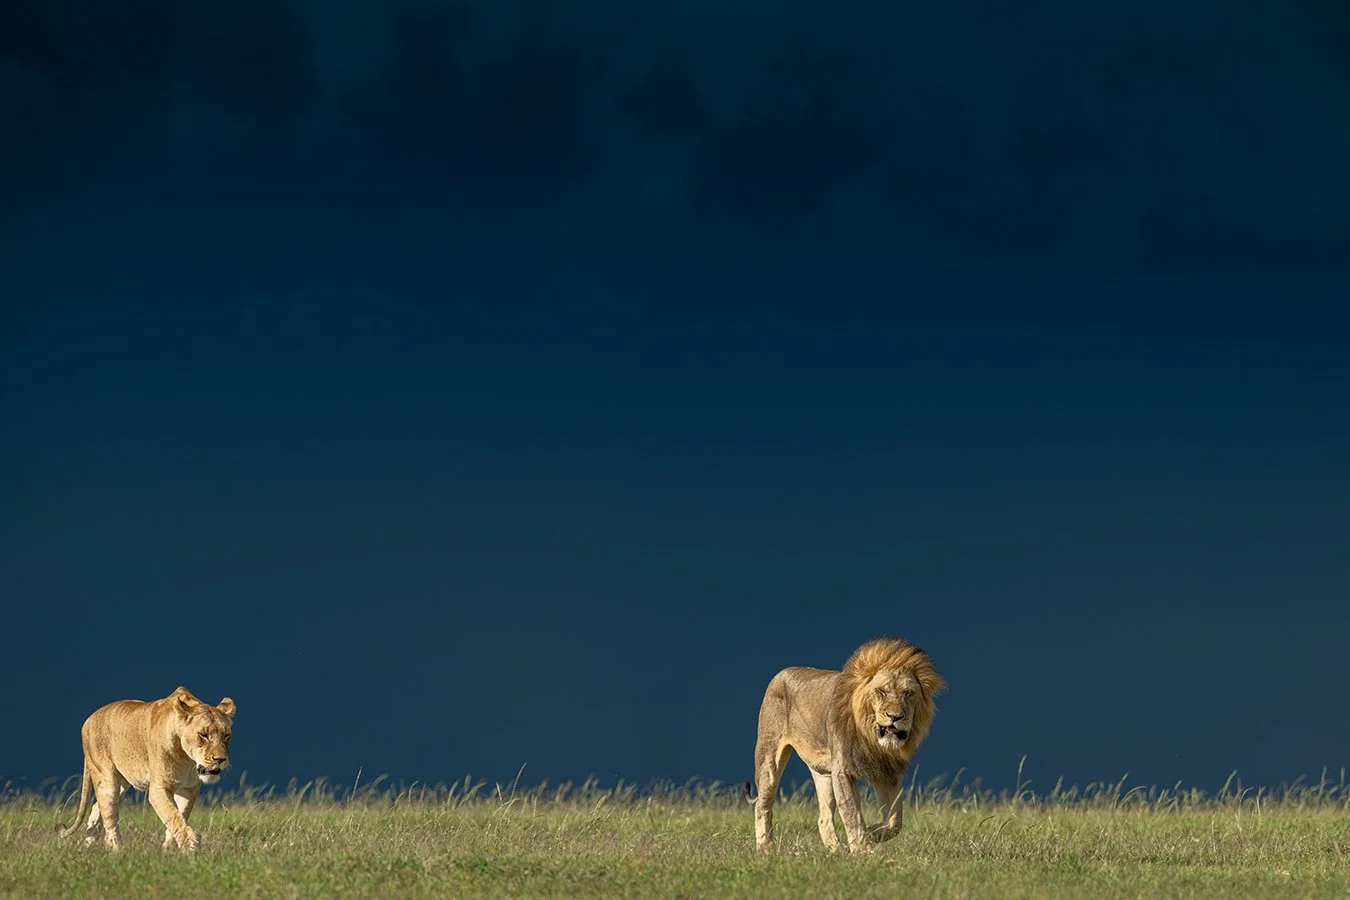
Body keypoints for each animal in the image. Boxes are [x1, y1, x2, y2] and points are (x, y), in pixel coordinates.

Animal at [60, 686, 236, 851]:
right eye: (203, 735)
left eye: (226, 735)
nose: (220, 760)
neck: (188, 760)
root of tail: (89, 719)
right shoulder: (159, 788)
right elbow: (173, 815)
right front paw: (190, 845)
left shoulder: (188, 789)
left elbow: (180, 814)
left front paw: (169, 849)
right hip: (106, 779)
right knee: (109, 817)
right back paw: (117, 850)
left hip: (121, 784)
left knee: (98, 807)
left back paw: (87, 844)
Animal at [744, 636, 943, 853]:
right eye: (881, 691)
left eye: (908, 693)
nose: (895, 717)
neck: (872, 738)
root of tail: (781, 673)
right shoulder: (844, 768)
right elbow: (851, 811)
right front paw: (863, 849)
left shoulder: (886, 772)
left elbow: (895, 820)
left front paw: (871, 833)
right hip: (769, 758)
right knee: (762, 804)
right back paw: (766, 847)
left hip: (824, 773)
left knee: (823, 818)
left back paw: (836, 849)